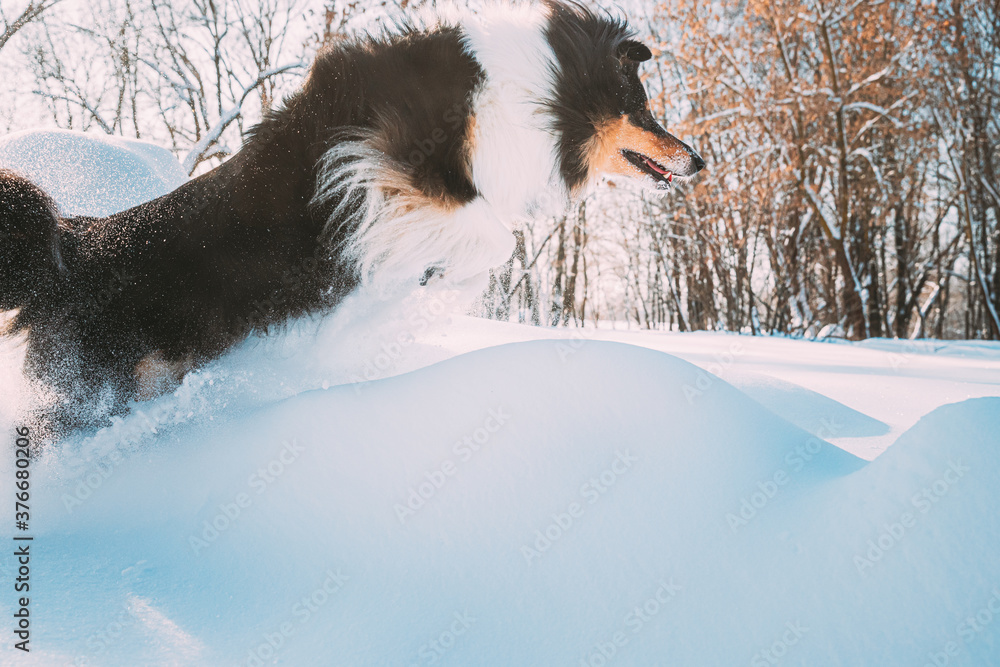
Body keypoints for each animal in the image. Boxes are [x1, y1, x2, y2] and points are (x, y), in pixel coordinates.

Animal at [0, 0, 704, 436]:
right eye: (644, 107)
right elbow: (493, 241)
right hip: (96, 392)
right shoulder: (384, 169)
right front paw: (412, 307)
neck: (537, 90)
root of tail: (68, 250)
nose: (697, 160)